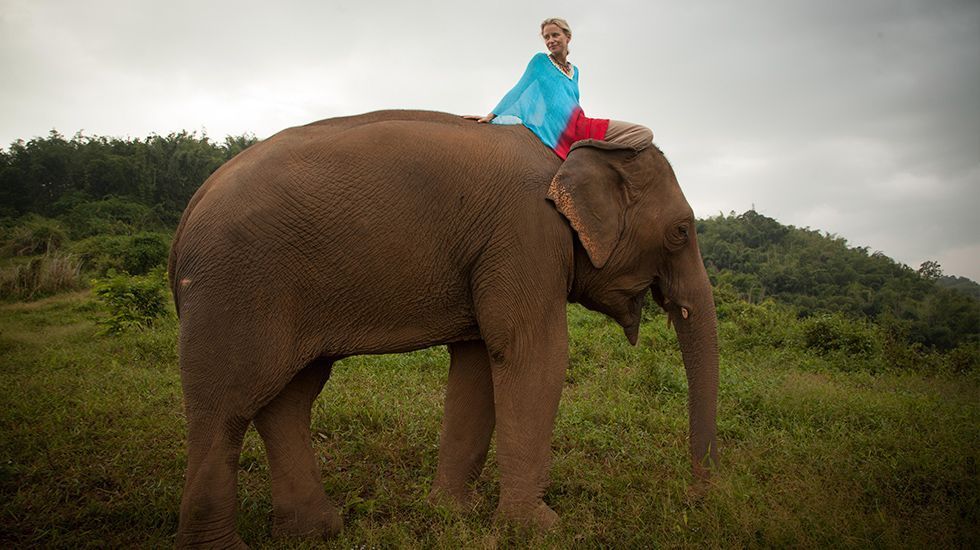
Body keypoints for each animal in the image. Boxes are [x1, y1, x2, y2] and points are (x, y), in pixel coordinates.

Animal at [167, 109, 719, 547]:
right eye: (680, 232)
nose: (696, 495)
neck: (566, 155)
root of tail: (188, 214)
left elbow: (477, 363)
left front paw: (452, 515)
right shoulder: (527, 235)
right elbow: (532, 353)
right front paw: (539, 530)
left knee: (289, 397)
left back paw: (316, 532)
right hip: (234, 288)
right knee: (226, 407)